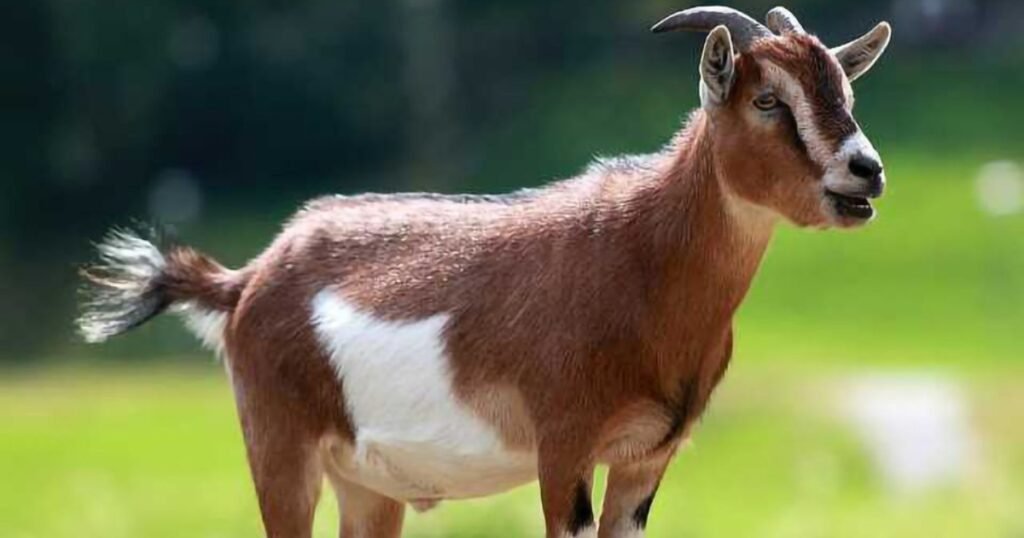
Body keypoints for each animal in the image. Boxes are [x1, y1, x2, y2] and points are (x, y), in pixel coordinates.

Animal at [77, 6, 892, 538]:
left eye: (845, 95)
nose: (868, 171)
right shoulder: (563, 448)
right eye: (767, 100)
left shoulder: (647, 458)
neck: (642, 260)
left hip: (365, 485)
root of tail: (247, 280)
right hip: (281, 449)